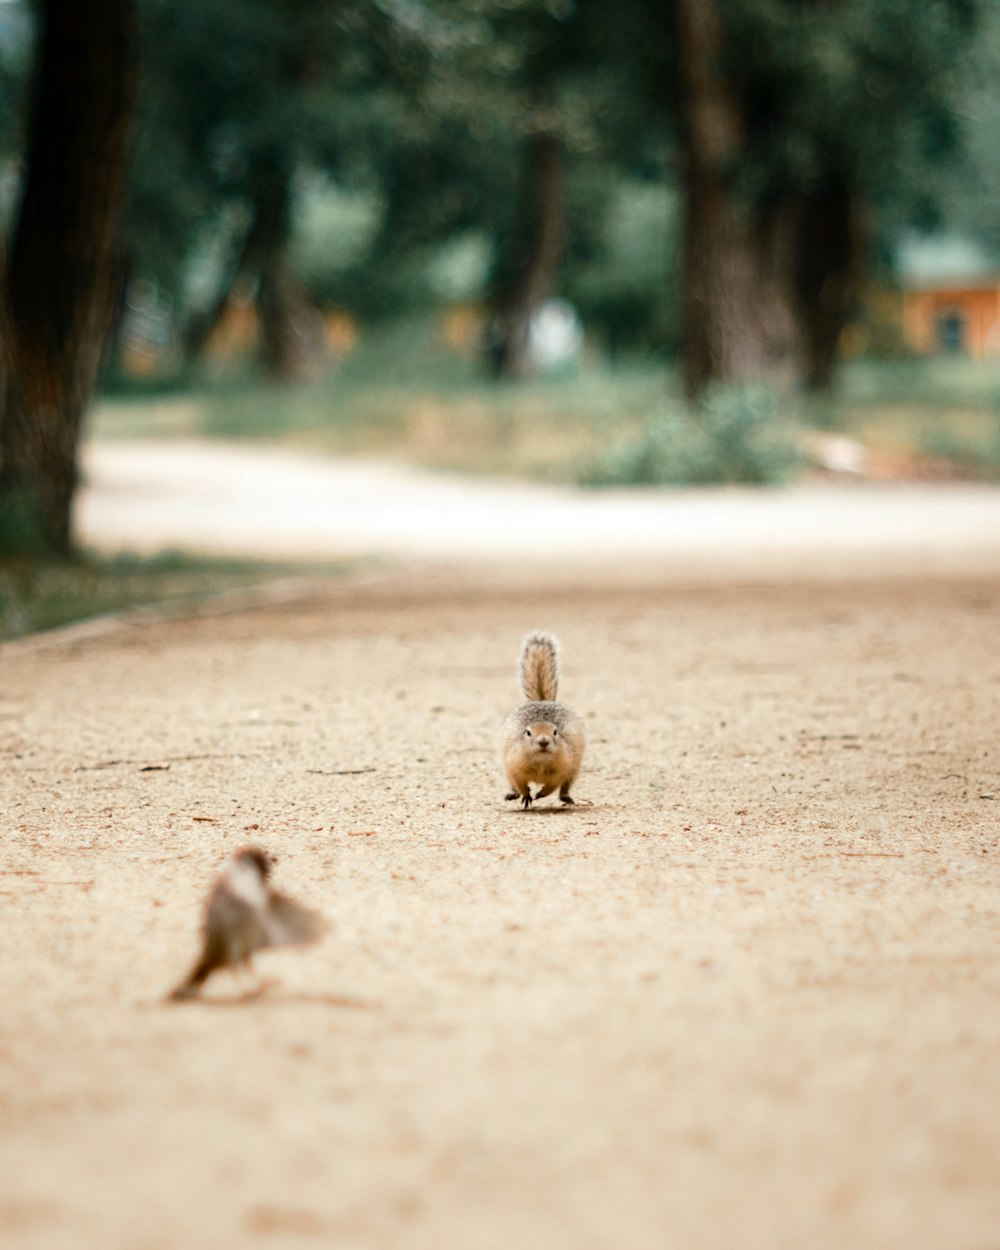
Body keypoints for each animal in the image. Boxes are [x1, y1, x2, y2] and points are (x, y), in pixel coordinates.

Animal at [505, 625, 582, 810]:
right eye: (528, 732)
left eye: (555, 732)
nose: (543, 741)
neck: (541, 762)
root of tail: (542, 700)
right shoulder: (514, 766)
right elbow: (520, 784)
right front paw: (526, 796)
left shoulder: (563, 768)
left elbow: (552, 786)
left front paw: (540, 794)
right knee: (512, 786)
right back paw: (512, 794)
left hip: (574, 768)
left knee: (565, 787)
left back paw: (566, 798)